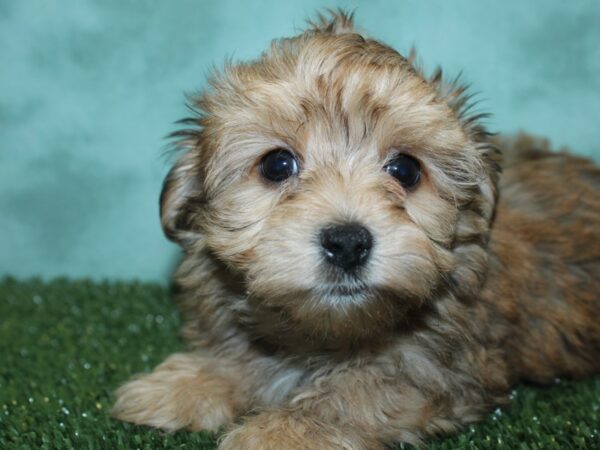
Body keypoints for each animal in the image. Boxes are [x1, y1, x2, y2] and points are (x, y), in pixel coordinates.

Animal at [112, 10, 600, 450]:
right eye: (277, 165)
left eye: (405, 169)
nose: (347, 242)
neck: (325, 332)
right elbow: (242, 357)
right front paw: (184, 384)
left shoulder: (437, 372)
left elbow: (353, 395)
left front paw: (279, 433)